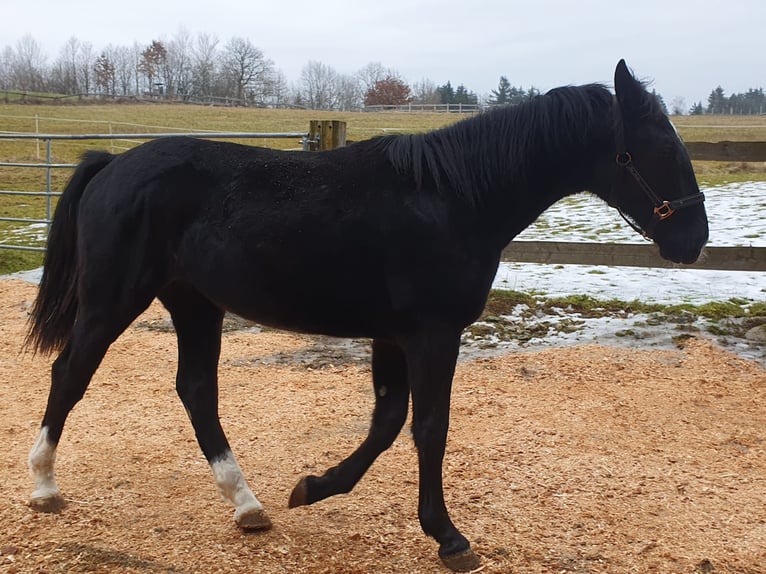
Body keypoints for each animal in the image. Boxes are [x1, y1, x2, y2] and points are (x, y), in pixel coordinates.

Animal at [25, 60, 708, 572]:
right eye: (659, 144)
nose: (694, 239)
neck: (453, 197)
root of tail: (113, 164)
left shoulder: (392, 336)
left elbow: (386, 423)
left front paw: (314, 487)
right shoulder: (432, 334)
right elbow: (428, 426)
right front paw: (449, 537)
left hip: (195, 306)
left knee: (195, 391)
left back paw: (248, 506)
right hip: (113, 301)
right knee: (69, 376)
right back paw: (44, 487)